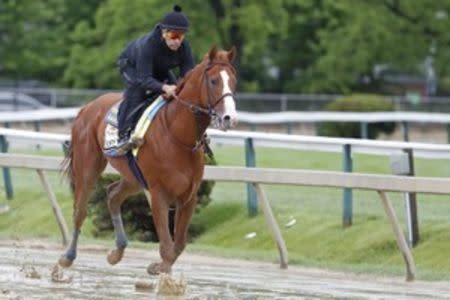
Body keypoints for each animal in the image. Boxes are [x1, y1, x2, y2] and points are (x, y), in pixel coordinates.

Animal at [59, 45, 239, 274]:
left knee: (113, 195)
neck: (178, 136)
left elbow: (179, 245)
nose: (230, 118)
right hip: (87, 168)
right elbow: (167, 247)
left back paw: (117, 252)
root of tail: (87, 107)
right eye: (214, 80)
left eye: (233, 80)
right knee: (80, 211)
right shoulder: (158, 194)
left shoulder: (188, 197)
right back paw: (67, 257)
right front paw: (162, 270)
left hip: (133, 177)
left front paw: (157, 267)